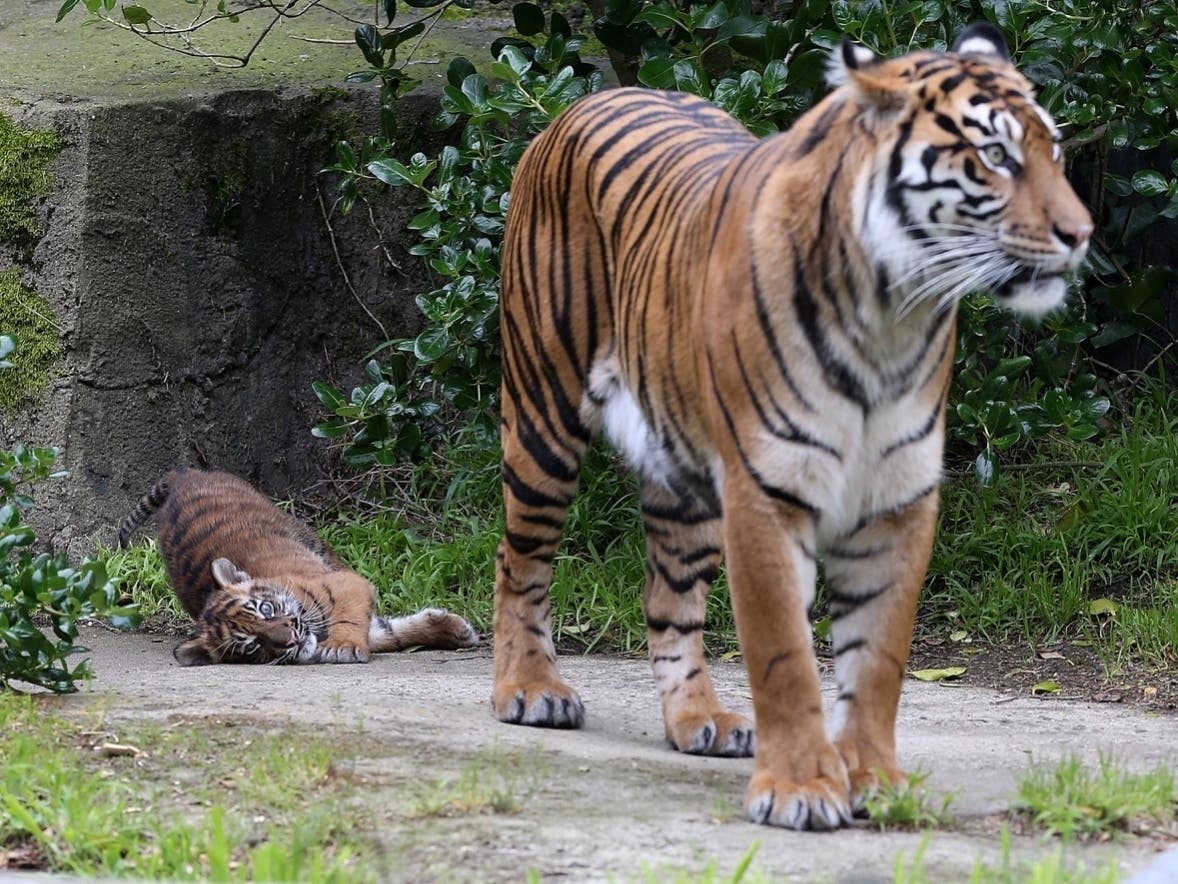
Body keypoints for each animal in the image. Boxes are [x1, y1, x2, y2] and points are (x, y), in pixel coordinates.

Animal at [118, 468, 479, 666]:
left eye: (264, 609)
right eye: (250, 645)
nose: (290, 639)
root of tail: (185, 475)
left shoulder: (346, 585)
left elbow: (352, 619)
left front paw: (342, 647)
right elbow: (391, 631)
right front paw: (454, 629)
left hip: (307, 535)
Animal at [491, 23, 1091, 830]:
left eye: (1053, 151)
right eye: (996, 156)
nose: (1080, 233)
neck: (891, 316)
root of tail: (589, 99)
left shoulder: (897, 501)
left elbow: (878, 659)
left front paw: (875, 780)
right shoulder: (766, 492)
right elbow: (785, 656)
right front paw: (803, 787)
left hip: (682, 480)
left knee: (668, 600)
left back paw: (700, 719)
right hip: (542, 417)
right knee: (519, 558)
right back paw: (529, 689)